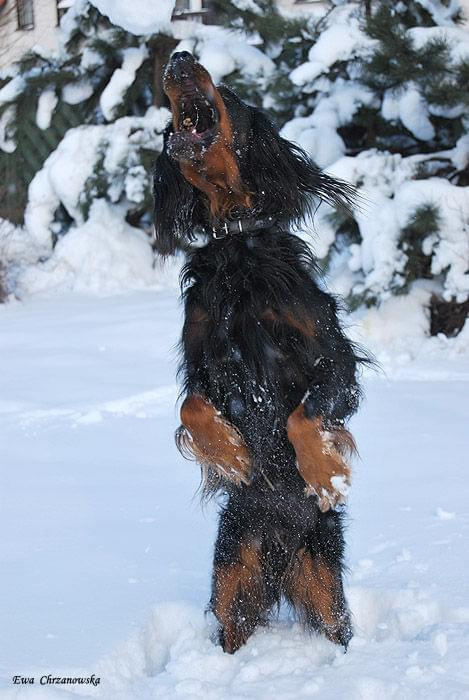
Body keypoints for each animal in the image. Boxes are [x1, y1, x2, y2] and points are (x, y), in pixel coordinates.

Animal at [154, 50, 366, 656]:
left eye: (227, 93)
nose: (179, 57)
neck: (236, 246)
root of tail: (279, 554)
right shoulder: (202, 362)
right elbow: (193, 406)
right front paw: (231, 455)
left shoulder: (333, 357)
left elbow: (304, 413)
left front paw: (325, 475)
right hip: (233, 578)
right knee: (231, 627)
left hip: (326, 589)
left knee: (338, 630)